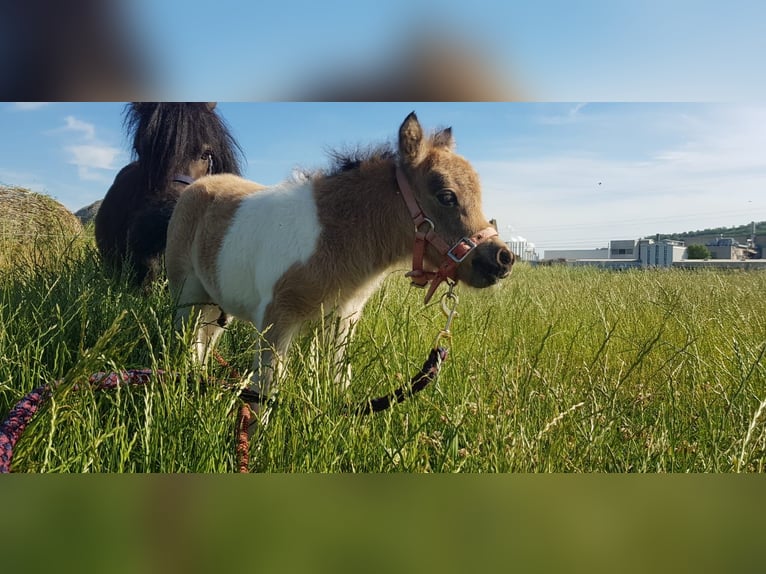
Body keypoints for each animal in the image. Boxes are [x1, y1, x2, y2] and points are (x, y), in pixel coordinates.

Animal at [167, 113, 516, 418]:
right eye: (446, 196)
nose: (502, 260)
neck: (333, 236)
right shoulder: (276, 318)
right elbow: (264, 392)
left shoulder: (342, 319)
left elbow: (337, 381)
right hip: (186, 297)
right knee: (187, 344)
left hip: (215, 305)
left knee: (204, 342)